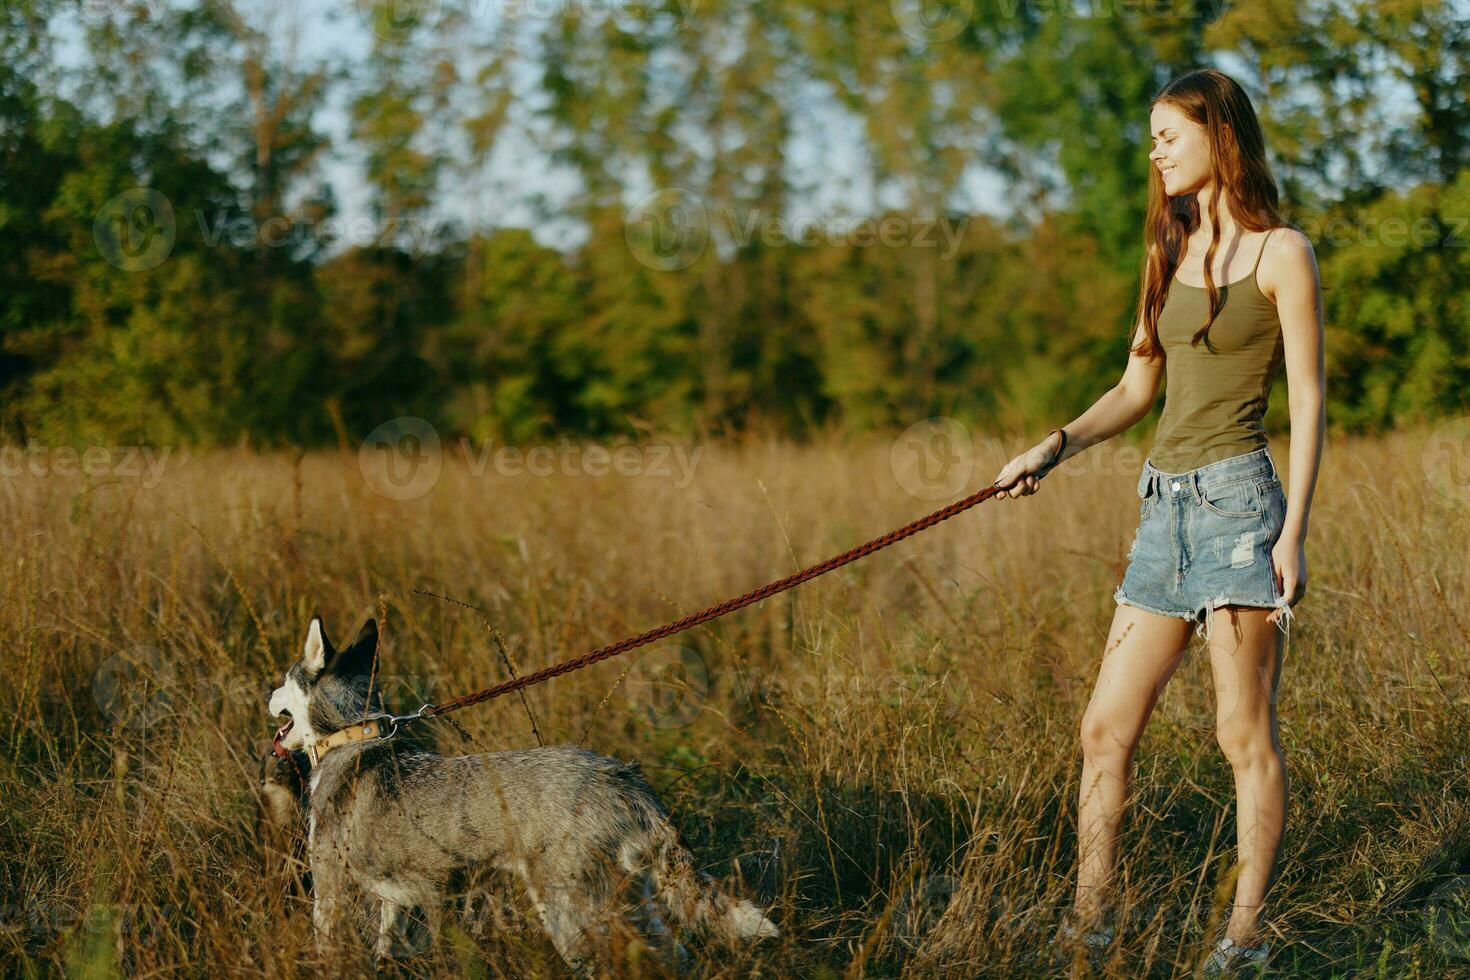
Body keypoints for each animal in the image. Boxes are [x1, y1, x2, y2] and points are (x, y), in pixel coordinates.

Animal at [271, 617, 787, 969]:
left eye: (284, 679)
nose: (266, 696)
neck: (352, 736)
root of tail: (622, 777)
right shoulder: (398, 903)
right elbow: (387, 951)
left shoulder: (331, 891)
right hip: (631, 899)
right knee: (675, 954)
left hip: (571, 913)